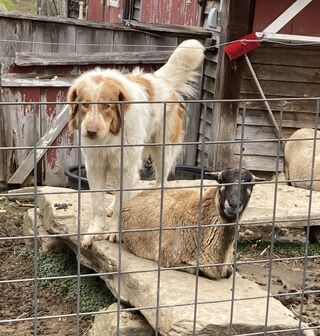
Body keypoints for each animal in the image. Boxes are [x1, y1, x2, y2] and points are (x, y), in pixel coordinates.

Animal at [67, 39, 205, 247]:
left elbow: (121, 204)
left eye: (107, 105)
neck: (111, 136)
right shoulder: (95, 167)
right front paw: (94, 231)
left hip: (162, 152)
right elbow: (98, 204)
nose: (90, 132)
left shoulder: (125, 167)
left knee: (160, 181)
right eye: (85, 104)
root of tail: (159, 80)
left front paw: (115, 231)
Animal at [121, 167, 262, 280]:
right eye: (221, 180)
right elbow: (200, 270)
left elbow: (230, 272)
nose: (233, 204)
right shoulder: (170, 258)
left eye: (251, 184)